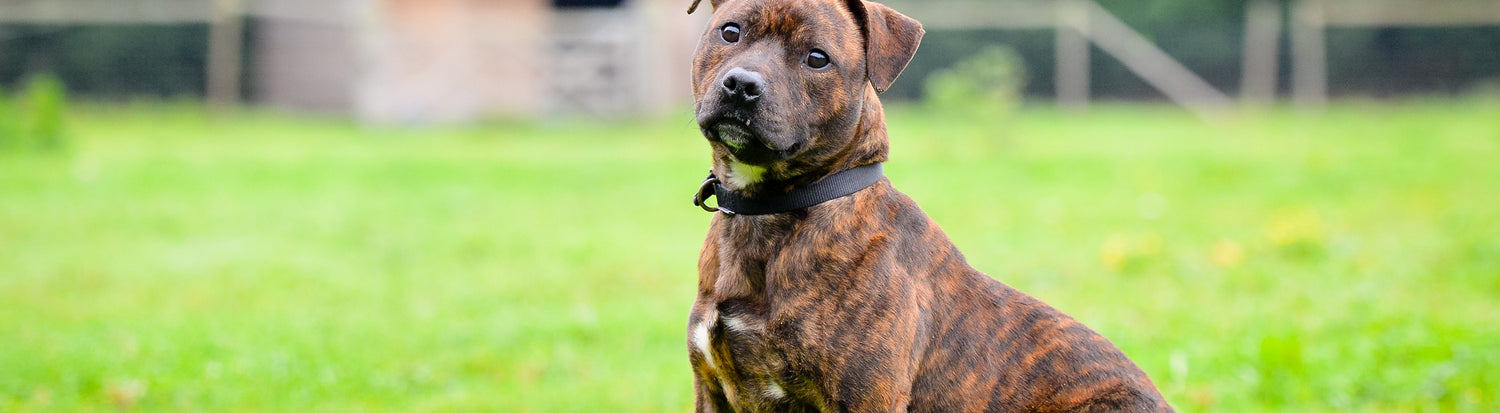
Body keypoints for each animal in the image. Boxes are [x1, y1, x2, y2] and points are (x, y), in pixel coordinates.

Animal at [684, 0, 1173, 411]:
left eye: (817, 58)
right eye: (731, 31)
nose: (742, 85)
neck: (772, 211)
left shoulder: (866, 397)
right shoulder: (712, 389)